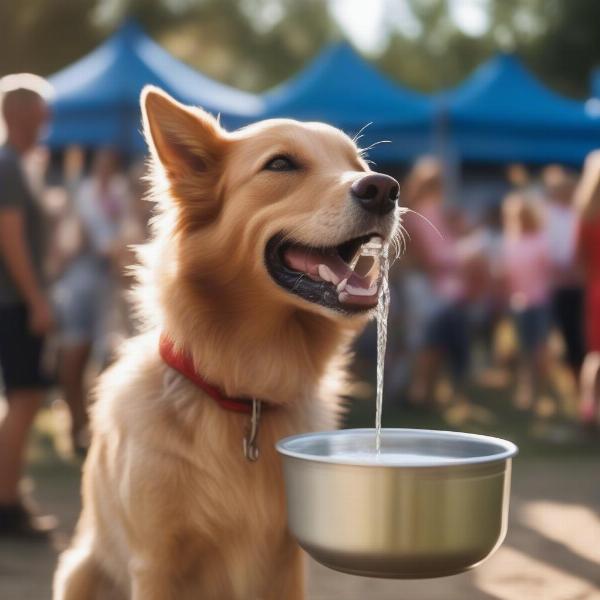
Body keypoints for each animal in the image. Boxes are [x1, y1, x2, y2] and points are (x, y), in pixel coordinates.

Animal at [51, 85, 398, 600]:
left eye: (358, 164)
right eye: (280, 164)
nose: (384, 189)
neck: (244, 396)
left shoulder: (286, 561)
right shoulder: (155, 563)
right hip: (77, 569)